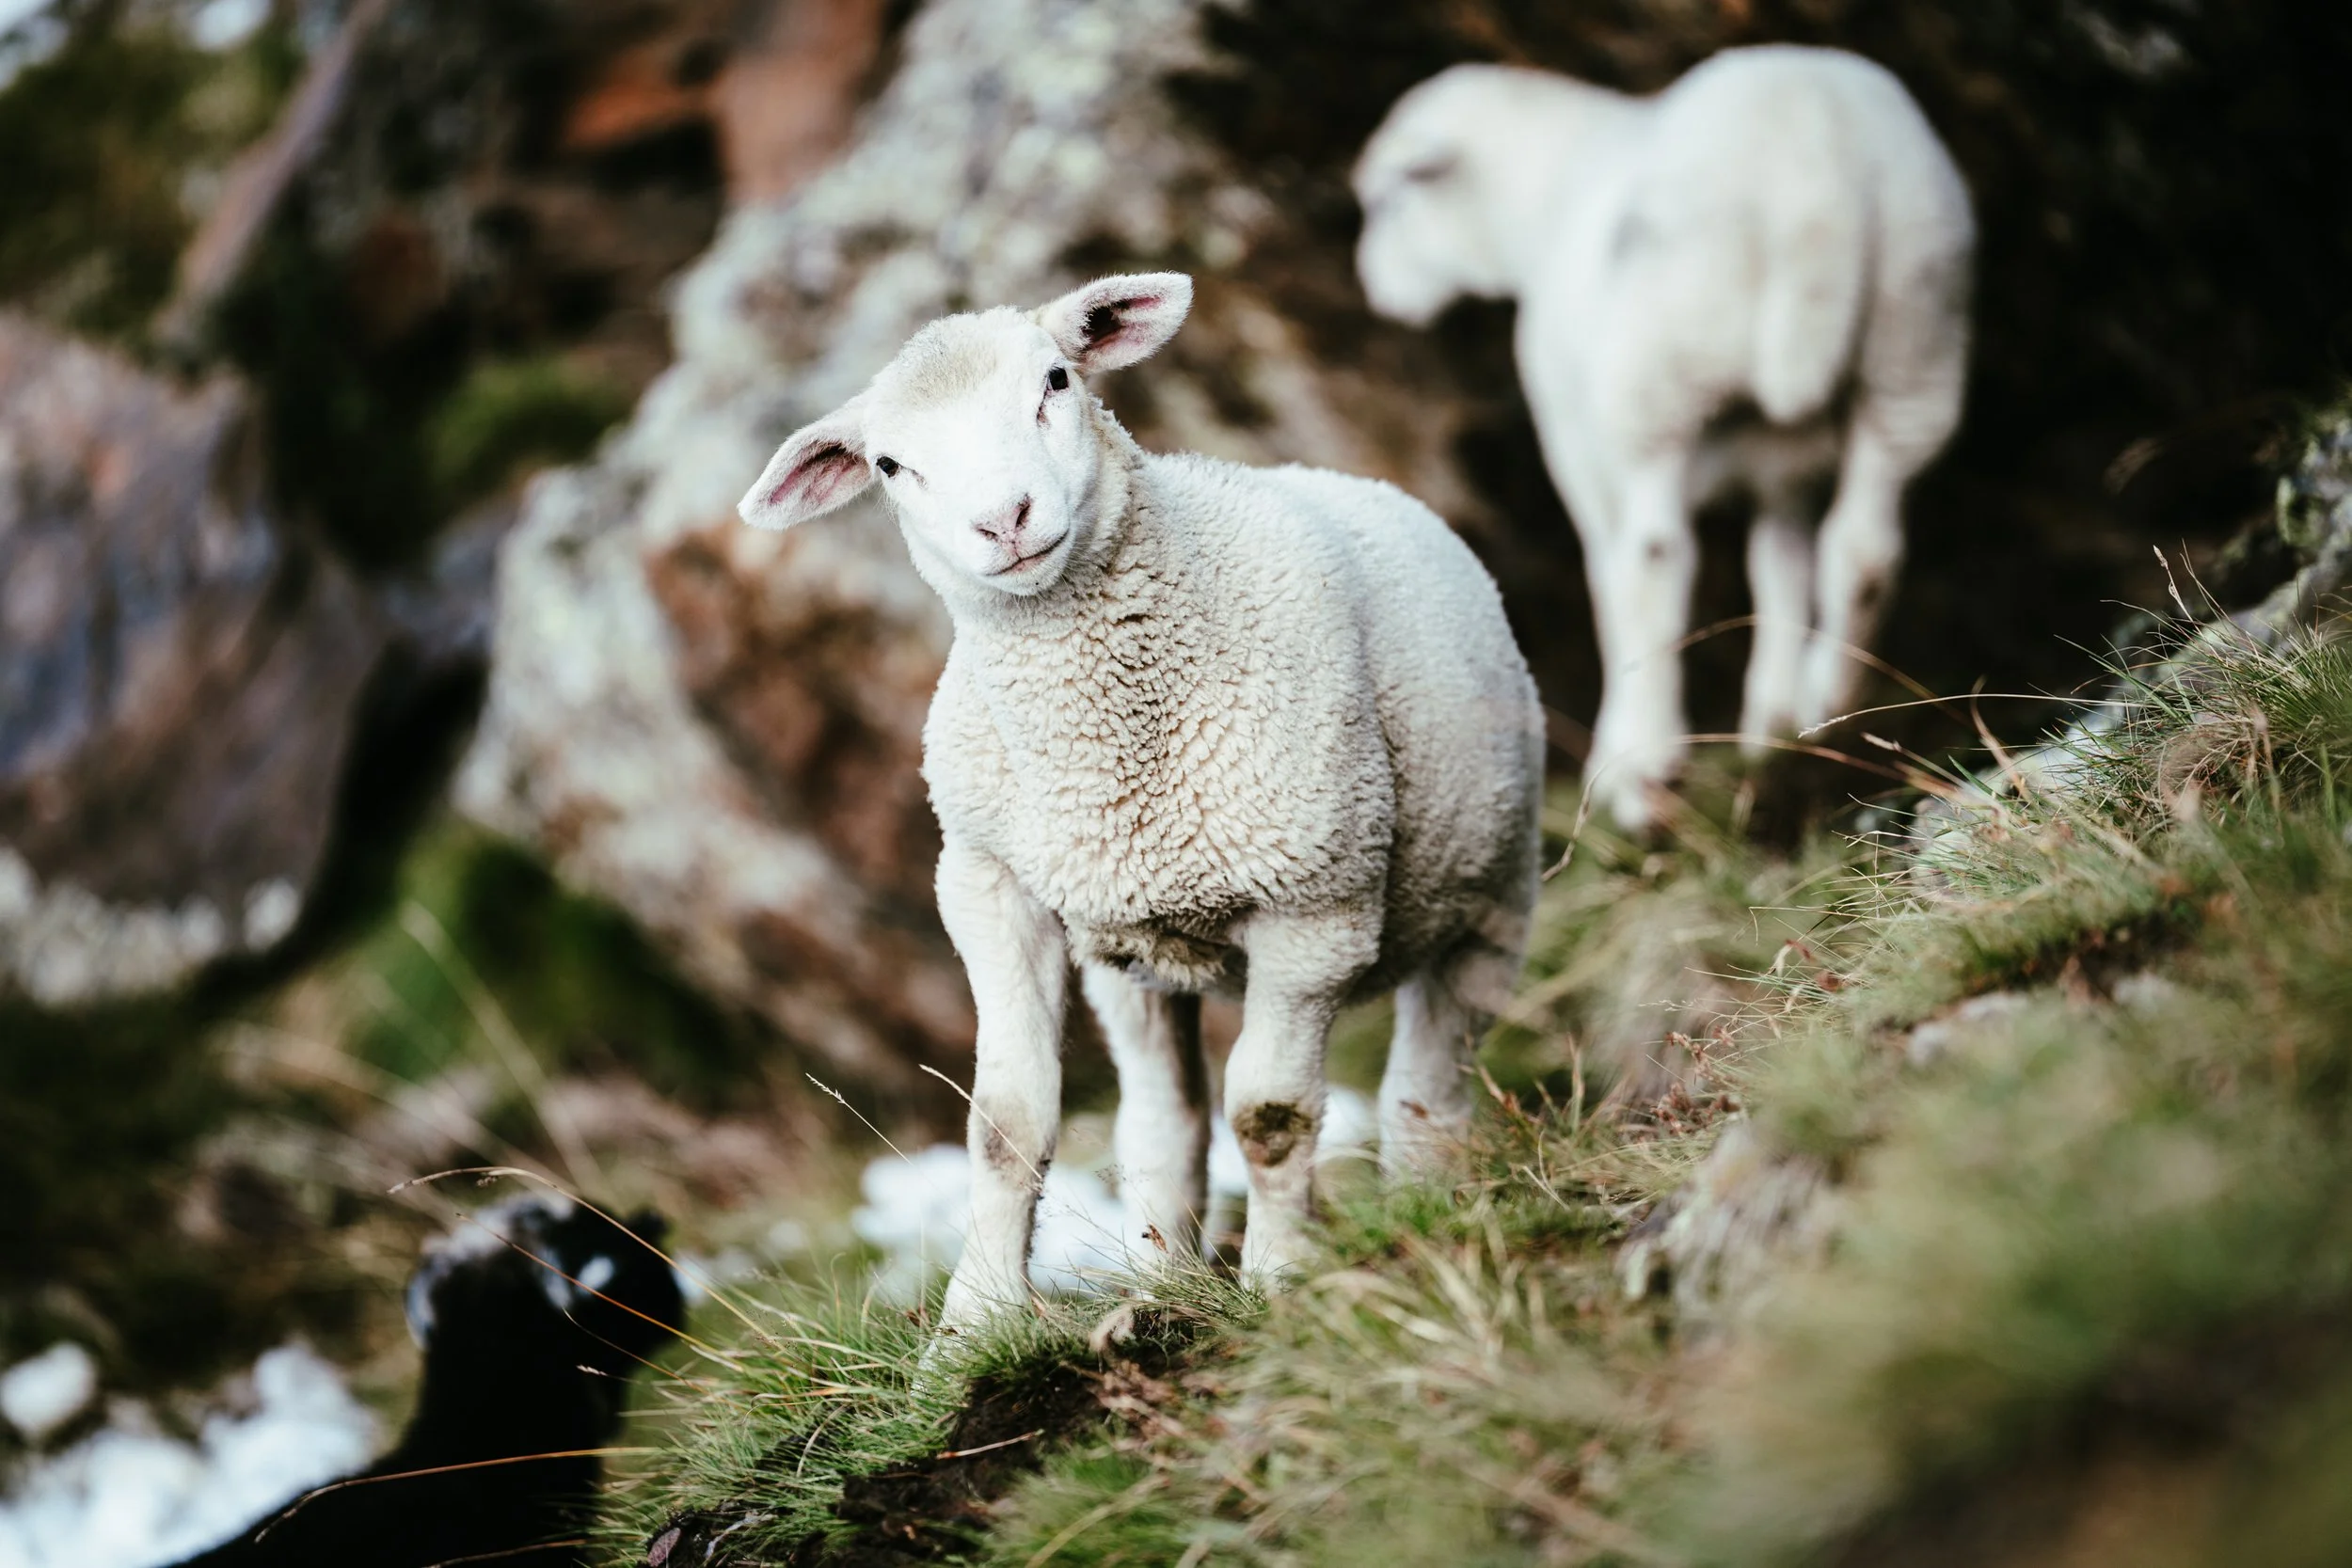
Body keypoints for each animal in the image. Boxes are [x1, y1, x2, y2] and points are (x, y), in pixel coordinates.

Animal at [738, 272, 1543, 1328]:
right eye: (888, 463)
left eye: (1055, 379)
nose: (1005, 520)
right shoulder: (993, 889)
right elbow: (1006, 1121)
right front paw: (971, 1326)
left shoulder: (1316, 907)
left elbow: (1272, 1115)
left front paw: (1282, 1281)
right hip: (1134, 958)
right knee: (1167, 1119)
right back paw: (1161, 1282)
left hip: (1490, 893)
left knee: (1425, 1085)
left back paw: (1425, 1208)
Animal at [1353, 46, 1974, 829]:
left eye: (1387, 203)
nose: (1377, 292)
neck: (1537, 205)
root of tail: (1812, 153)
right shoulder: (1784, 467)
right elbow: (1781, 565)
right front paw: (1771, 723)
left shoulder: (1576, 442)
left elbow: (1611, 578)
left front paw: (1626, 748)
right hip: (1913, 339)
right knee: (1863, 547)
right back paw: (1827, 710)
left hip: (1661, 376)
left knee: (1656, 557)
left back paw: (1645, 771)